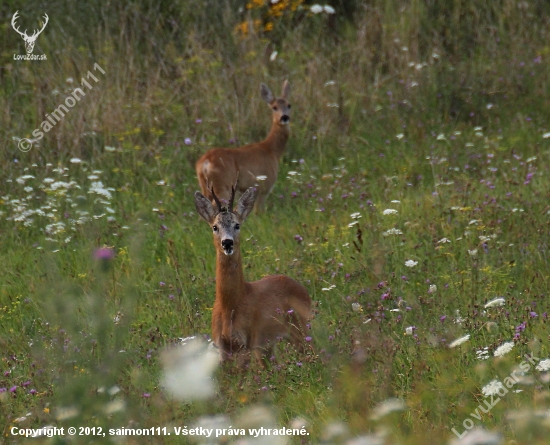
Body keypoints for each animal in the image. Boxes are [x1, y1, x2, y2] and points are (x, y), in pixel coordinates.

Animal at [195, 81, 292, 213]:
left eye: (289, 105)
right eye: (274, 107)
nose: (284, 117)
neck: (271, 150)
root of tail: (205, 162)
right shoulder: (263, 187)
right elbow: (259, 212)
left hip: (205, 186)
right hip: (222, 184)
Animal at [196, 180, 312, 360]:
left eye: (237, 225)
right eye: (215, 227)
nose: (227, 242)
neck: (229, 306)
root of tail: (300, 286)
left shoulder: (246, 343)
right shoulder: (222, 348)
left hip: (301, 328)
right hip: (267, 345)